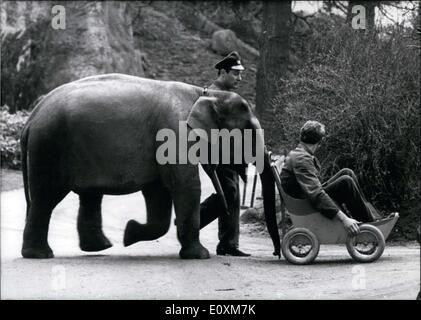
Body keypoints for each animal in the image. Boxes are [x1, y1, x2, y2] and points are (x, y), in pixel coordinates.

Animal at [21, 74, 280, 260]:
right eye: (249, 130)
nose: (276, 253)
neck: (205, 93)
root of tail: (31, 117)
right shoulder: (174, 133)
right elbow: (185, 185)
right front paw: (200, 256)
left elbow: (159, 194)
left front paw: (129, 234)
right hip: (49, 147)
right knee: (45, 199)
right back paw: (41, 255)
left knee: (88, 195)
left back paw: (99, 247)